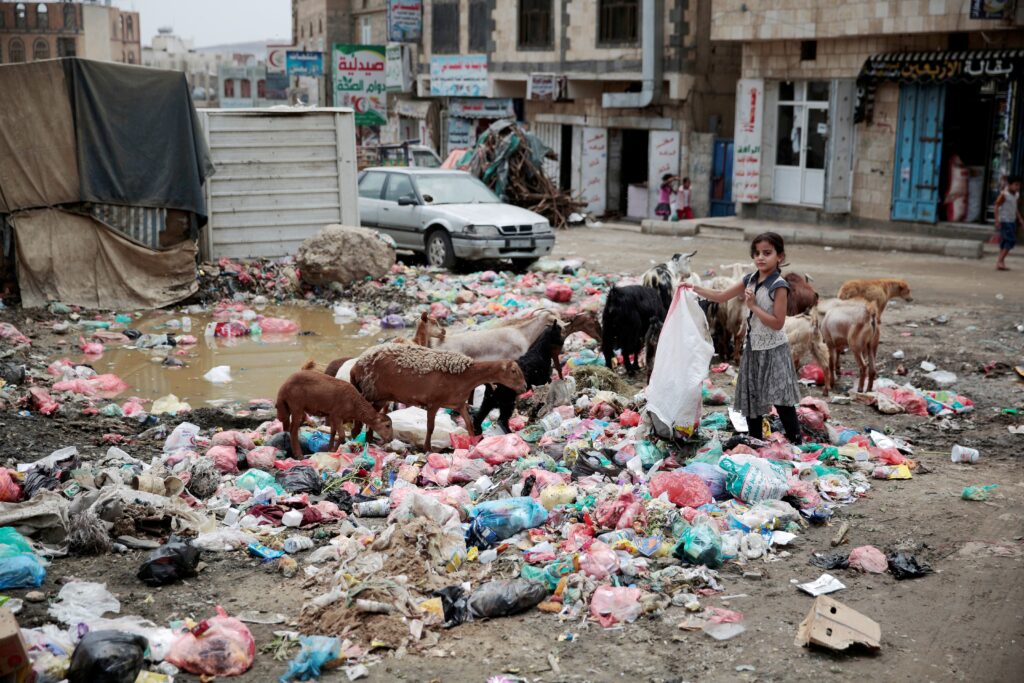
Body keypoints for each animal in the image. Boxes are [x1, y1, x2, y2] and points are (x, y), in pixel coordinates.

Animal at [352, 344, 528, 450]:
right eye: (514, 371)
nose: (525, 387)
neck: (466, 377)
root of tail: (356, 366)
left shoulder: (459, 403)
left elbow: (470, 424)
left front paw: (474, 443)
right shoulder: (433, 402)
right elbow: (430, 427)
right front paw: (428, 448)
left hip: (380, 396)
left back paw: (368, 440)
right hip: (371, 391)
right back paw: (362, 439)